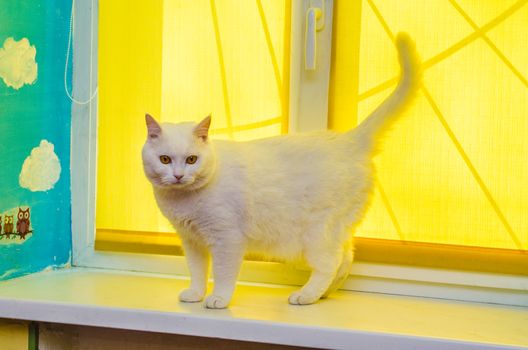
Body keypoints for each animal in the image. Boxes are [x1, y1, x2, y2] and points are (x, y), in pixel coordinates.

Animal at [141, 32, 420, 306]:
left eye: (191, 159)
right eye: (165, 159)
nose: (178, 175)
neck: (183, 201)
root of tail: (349, 140)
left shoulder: (226, 239)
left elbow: (222, 273)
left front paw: (218, 298)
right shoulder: (192, 241)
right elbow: (197, 271)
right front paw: (196, 294)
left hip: (318, 234)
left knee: (330, 264)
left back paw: (306, 296)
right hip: (337, 230)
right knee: (346, 258)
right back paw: (325, 293)